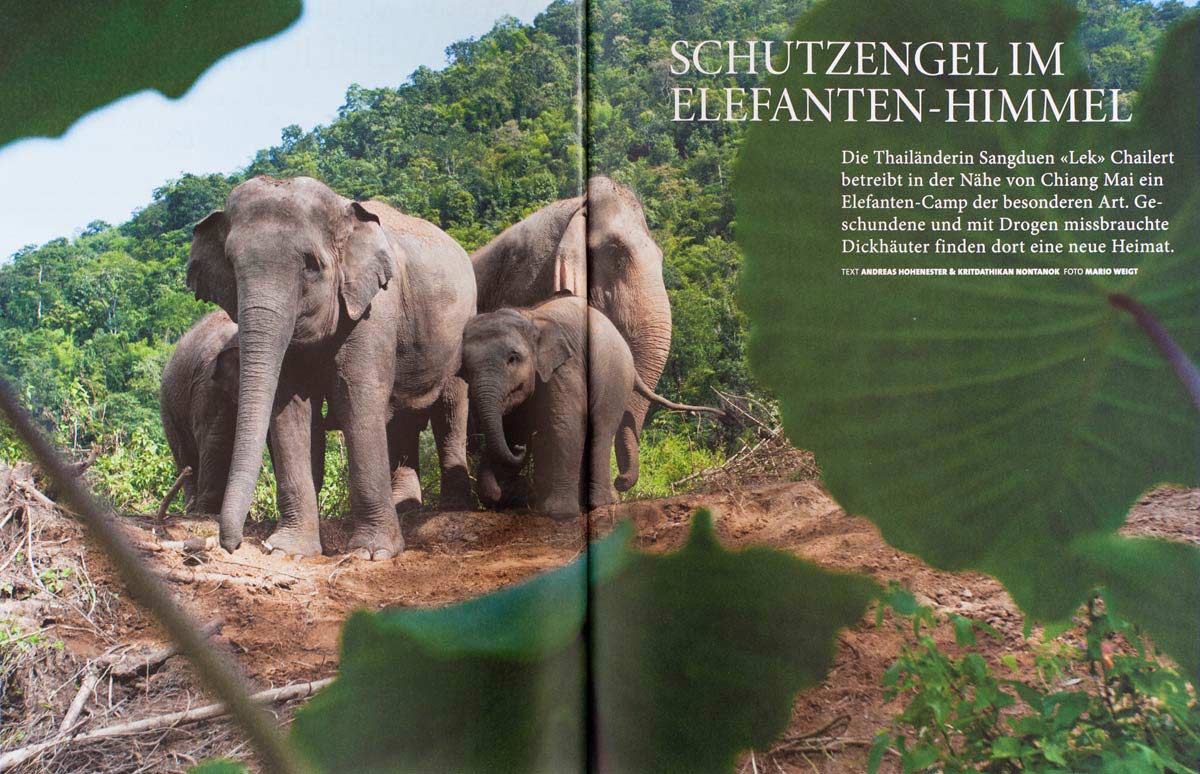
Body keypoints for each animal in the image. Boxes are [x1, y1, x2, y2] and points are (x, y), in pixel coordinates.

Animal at [187, 175, 475, 559]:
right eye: (232, 267)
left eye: (311, 265)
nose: (231, 546)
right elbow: (289, 409)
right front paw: (289, 550)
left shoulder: (373, 310)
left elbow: (356, 400)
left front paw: (371, 553)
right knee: (402, 415)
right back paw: (406, 508)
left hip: (461, 328)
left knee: (450, 406)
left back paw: (454, 507)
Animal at [461, 295, 722, 517]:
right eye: (464, 368)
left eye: (513, 358)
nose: (520, 449)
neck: (530, 315)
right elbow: (514, 428)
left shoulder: (566, 368)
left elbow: (565, 425)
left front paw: (557, 513)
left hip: (614, 379)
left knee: (600, 430)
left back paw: (599, 503)